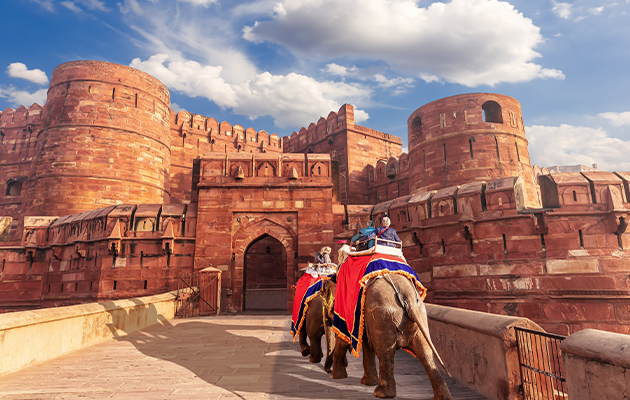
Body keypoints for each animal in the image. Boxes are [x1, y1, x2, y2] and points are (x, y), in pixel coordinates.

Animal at [320, 276, 454, 400]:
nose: (327, 370)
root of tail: (408, 295)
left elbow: (343, 339)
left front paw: (335, 376)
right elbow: (366, 345)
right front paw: (367, 382)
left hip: (383, 316)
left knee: (384, 353)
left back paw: (380, 394)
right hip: (419, 315)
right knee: (425, 352)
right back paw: (443, 398)